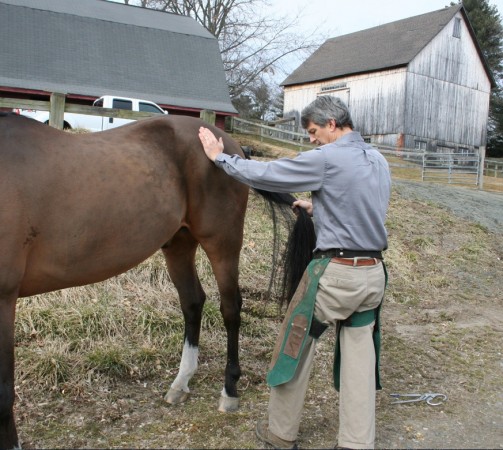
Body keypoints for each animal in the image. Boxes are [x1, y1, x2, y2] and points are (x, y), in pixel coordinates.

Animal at [0, 111, 316, 446]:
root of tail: (231, 145)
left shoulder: (4, 298)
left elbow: (4, 389)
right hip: (178, 244)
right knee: (193, 302)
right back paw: (181, 382)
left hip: (223, 242)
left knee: (230, 308)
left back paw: (229, 390)